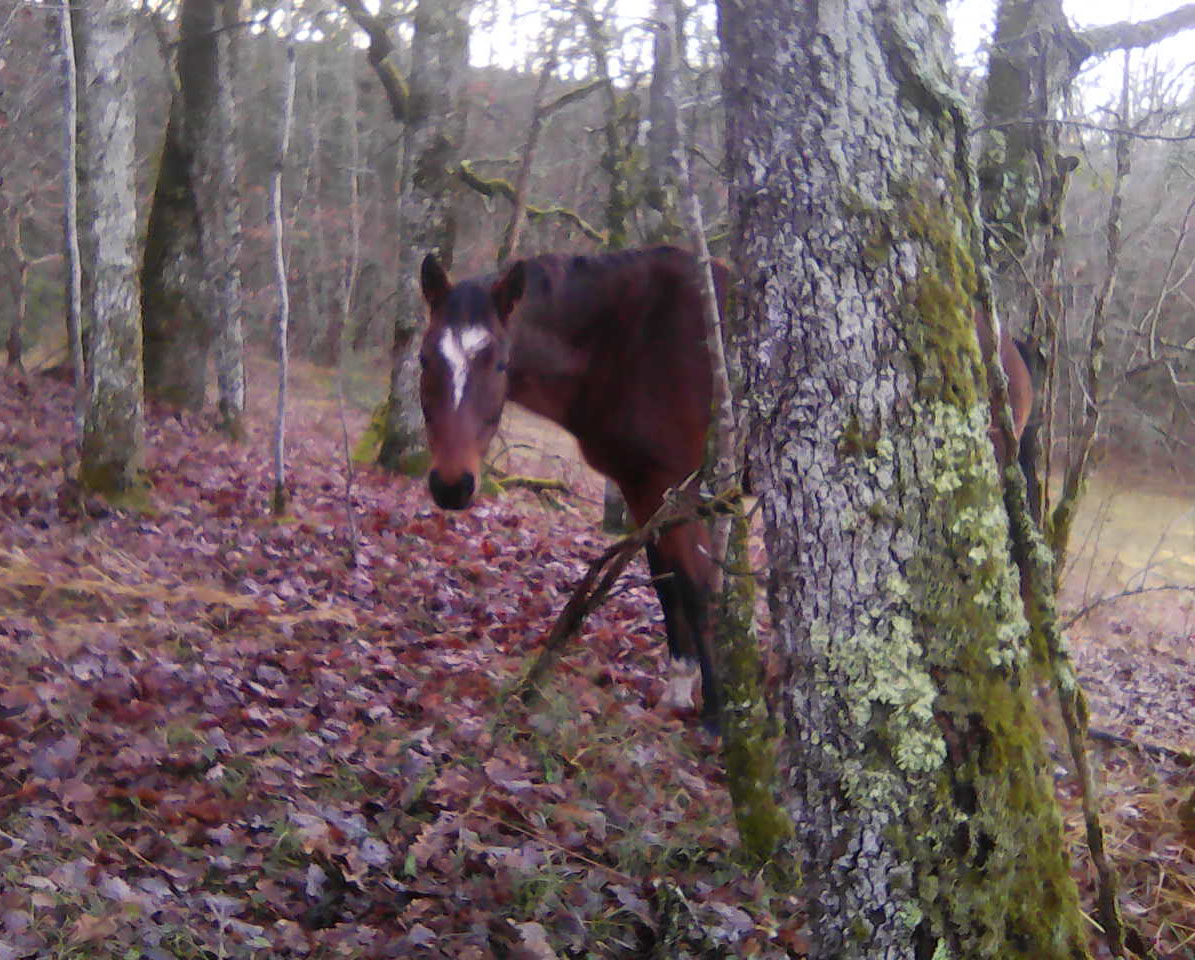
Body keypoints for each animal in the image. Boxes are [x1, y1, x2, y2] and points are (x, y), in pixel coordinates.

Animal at [415, 243, 1032, 726]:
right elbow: (666, 582)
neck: (625, 342)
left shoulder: (683, 490)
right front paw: (679, 685)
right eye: (424, 359)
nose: (451, 485)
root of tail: (1009, 352)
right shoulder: (644, 490)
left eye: (498, 363)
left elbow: (697, 589)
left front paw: (717, 713)